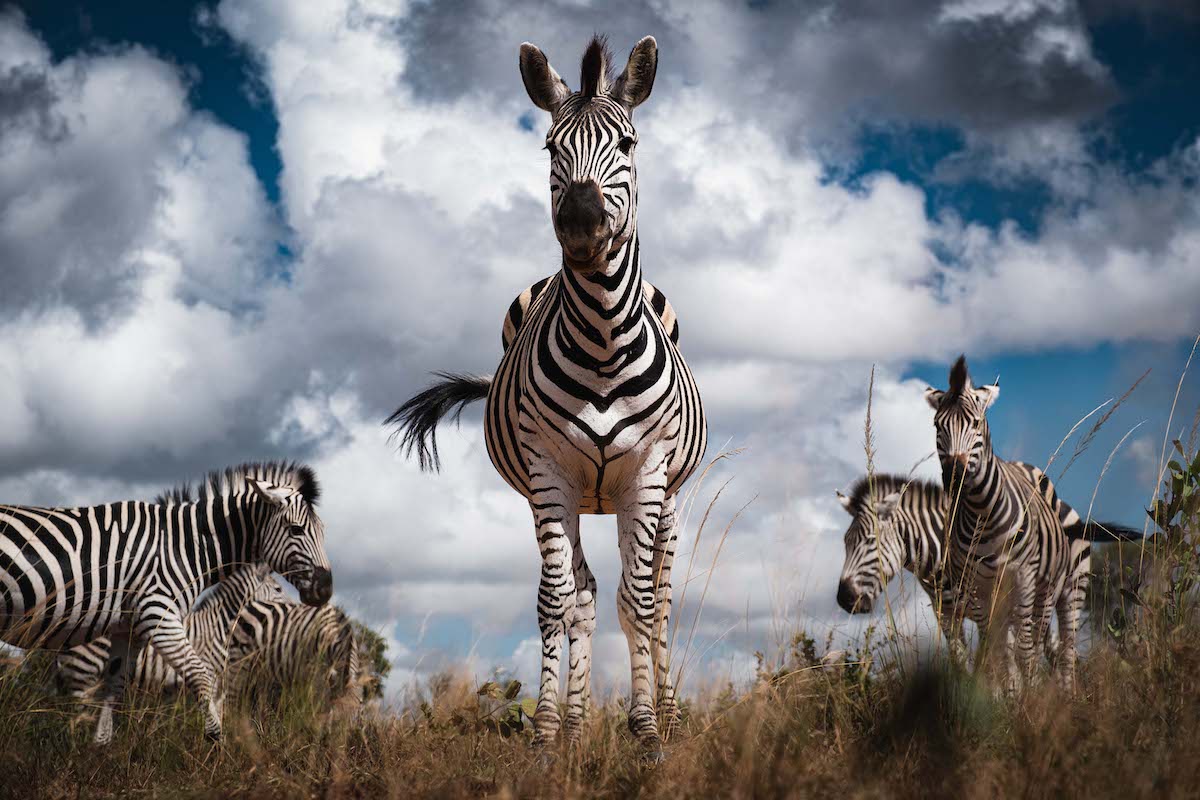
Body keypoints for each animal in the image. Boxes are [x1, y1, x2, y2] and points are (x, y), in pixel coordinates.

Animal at [384, 35, 705, 753]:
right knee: (582, 594)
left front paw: (648, 734)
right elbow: (560, 602)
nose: (581, 227)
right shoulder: (549, 474)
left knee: (658, 597)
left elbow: (640, 603)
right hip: (566, 494)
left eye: (629, 144)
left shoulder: (646, 475)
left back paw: (668, 716)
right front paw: (549, 733)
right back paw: (579, 726)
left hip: (662, 496)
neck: (605, 340)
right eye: (551, 147)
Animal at [835, 472, 1142, 671]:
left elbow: (998, 662)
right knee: (1049, 649)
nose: (844, 599)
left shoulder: (995, 609)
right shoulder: (946, 617)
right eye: (845, 543)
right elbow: (964, 665)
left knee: (1064, 651)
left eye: (870, 541)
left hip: (1071, 590)